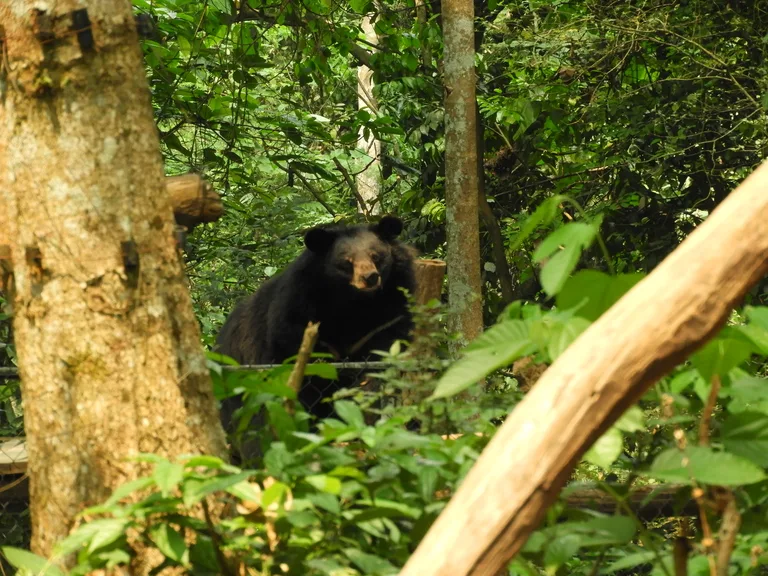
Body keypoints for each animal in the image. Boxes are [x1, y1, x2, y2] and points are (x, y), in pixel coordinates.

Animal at [216, 215, 417, 462]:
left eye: (376, 256)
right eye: (346, 262)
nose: (370, 278)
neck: (354, 305)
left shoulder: (388, 314)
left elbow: (379, 359)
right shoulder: (296, 318)